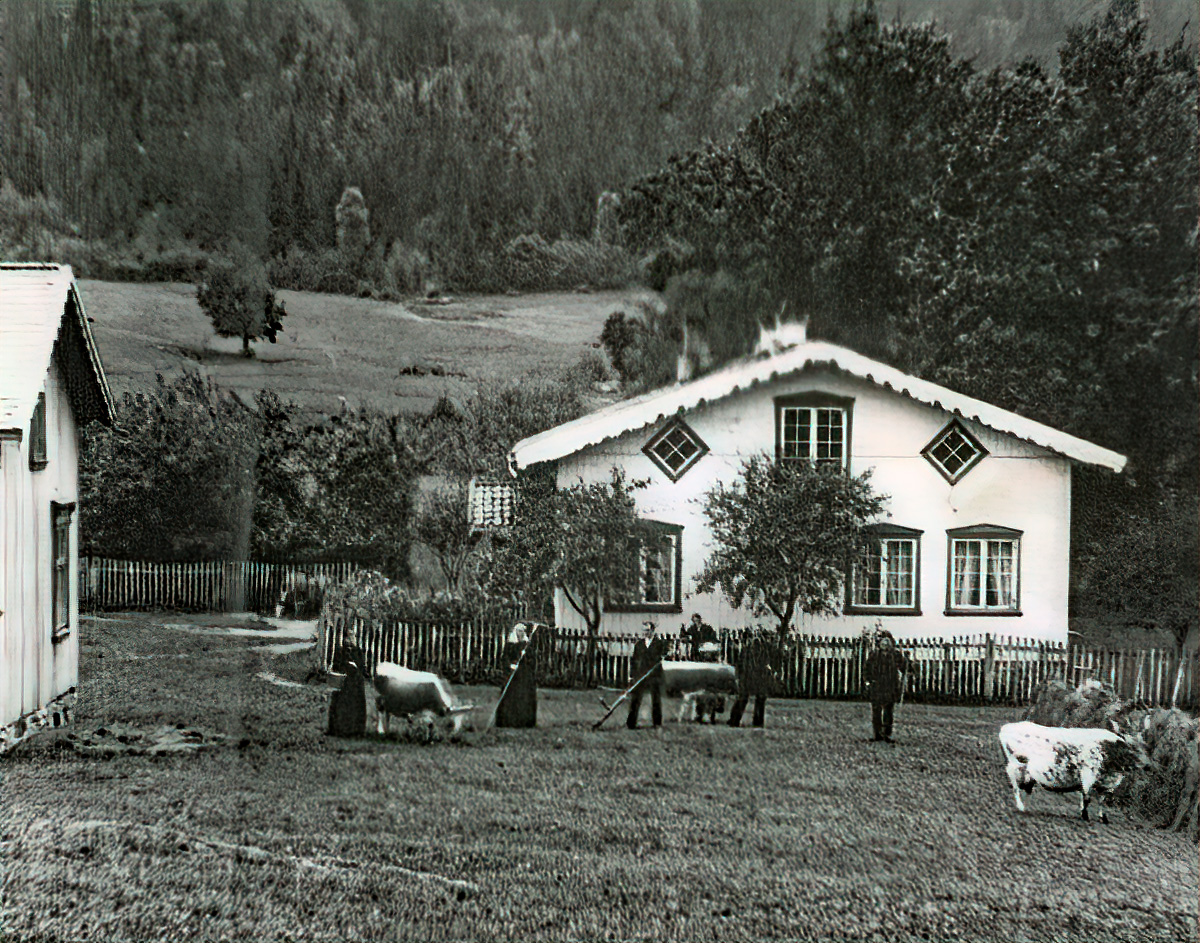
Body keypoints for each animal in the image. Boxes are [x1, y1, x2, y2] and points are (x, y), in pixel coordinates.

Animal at [993, 724, 1152, 820]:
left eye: (1146, 748)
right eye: (1133, 749)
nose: (1148, 766)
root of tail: (1005, 728)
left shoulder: (1105, 784)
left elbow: (1101, 800)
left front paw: (1102, 817)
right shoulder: (1088, 775)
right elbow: (1087, 797)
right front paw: (1085, 815)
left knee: (1027, 787)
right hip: (1015, 764)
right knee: (1015, 786)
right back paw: (1020, 806)